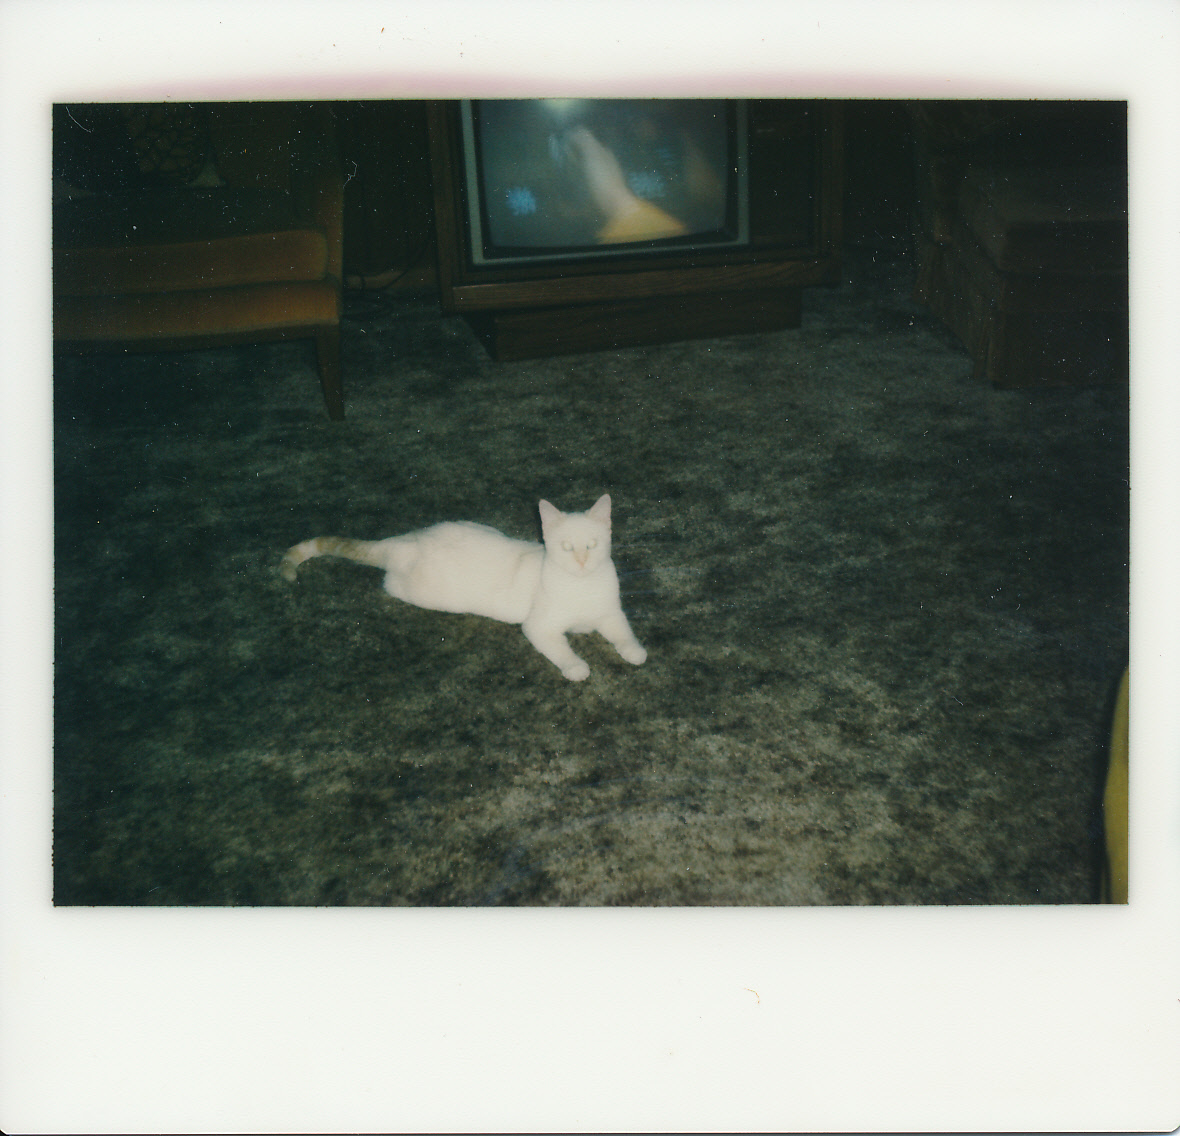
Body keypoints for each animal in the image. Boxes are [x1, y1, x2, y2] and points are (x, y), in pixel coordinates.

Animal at [280, 494, 647, 682]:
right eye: (567, 547)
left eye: (592, 544)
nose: (583, 562)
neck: (581, 587)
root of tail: (406, 540)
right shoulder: (538, 627)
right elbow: (561, 650)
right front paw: (576, 667)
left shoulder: (610, 615)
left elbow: (624, 634)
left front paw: (634, 651)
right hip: (425, 593)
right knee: (390, 585)